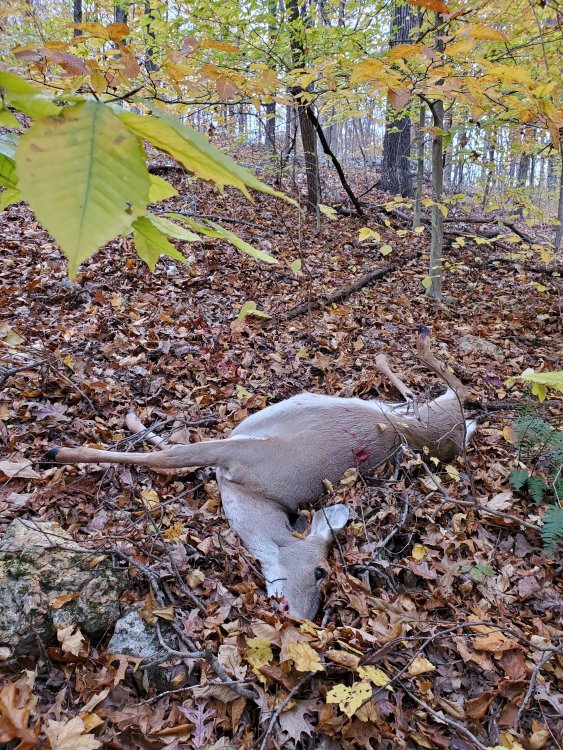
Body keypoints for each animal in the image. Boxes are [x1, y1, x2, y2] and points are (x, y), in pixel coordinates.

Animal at [46, 327, 475, 621]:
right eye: (320, 572)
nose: (304, 619)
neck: (255, 497)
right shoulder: (242, 449)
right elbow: (169, 453)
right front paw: (62, 449)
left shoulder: (236, 452)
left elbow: (170, 451)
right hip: (426, 418)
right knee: (452, 391)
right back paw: (405, 348)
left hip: (425, 422)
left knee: (446, 394)